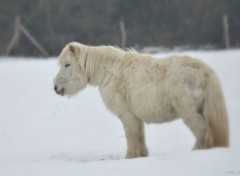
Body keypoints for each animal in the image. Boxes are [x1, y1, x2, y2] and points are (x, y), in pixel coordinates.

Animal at [54, 42, 229, 158]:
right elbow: (140, 136)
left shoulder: (127, 115)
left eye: (67, 64)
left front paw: (130, 156)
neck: (110, 72)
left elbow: (131, 136)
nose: (55, 87)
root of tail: (205, 71)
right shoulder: (136, 116)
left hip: (189, 111)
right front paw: (142, 155)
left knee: (202, 131)